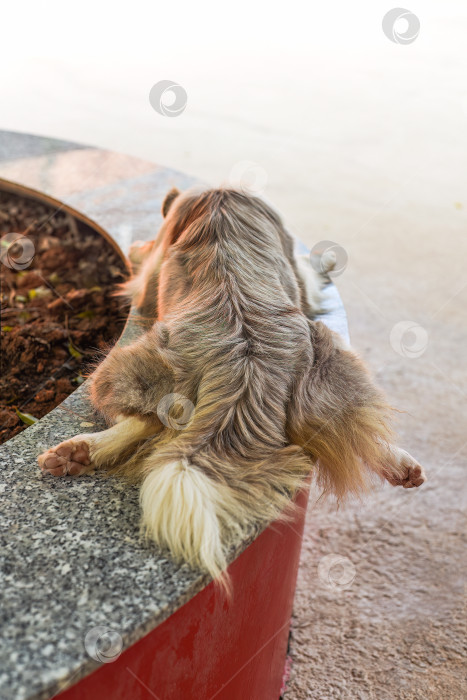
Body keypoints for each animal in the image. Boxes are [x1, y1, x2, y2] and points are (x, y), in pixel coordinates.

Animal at [39, 186, 428, 584]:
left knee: (146, 423)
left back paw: (80, 451)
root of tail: (244, 367)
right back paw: (399, 464)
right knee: (348, 426)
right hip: (328, 370)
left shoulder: (153, 270)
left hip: (110, 372)